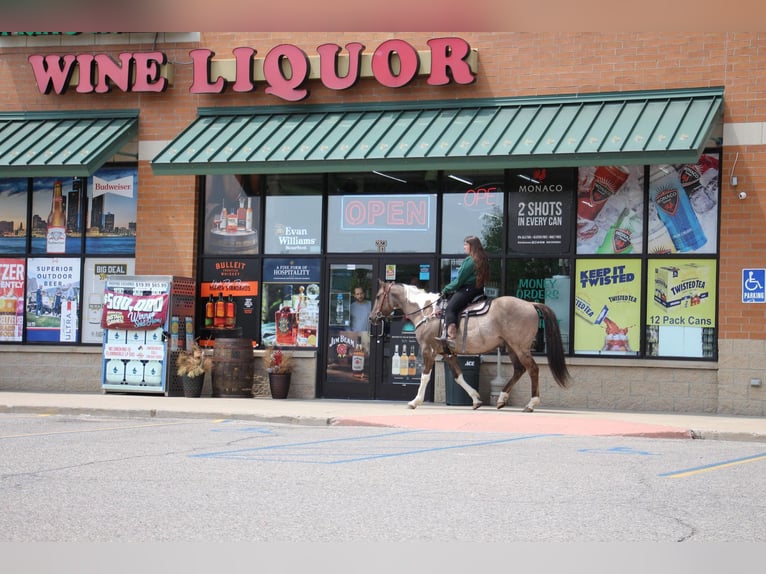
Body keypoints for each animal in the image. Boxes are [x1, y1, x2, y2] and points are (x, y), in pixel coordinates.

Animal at [368, 280, 572, 412]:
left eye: (378, 296)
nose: (372, 318)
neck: (427, 311)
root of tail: (530, 304)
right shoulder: (448, 353)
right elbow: (458, 376)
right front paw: (475, 399)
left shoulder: (429, 350)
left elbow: (425, 377)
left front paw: (415, 401)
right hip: (511, 347)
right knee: (519, 370)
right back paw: (501, 399)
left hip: (520, 347)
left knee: (533, 370)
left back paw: (531, 404)